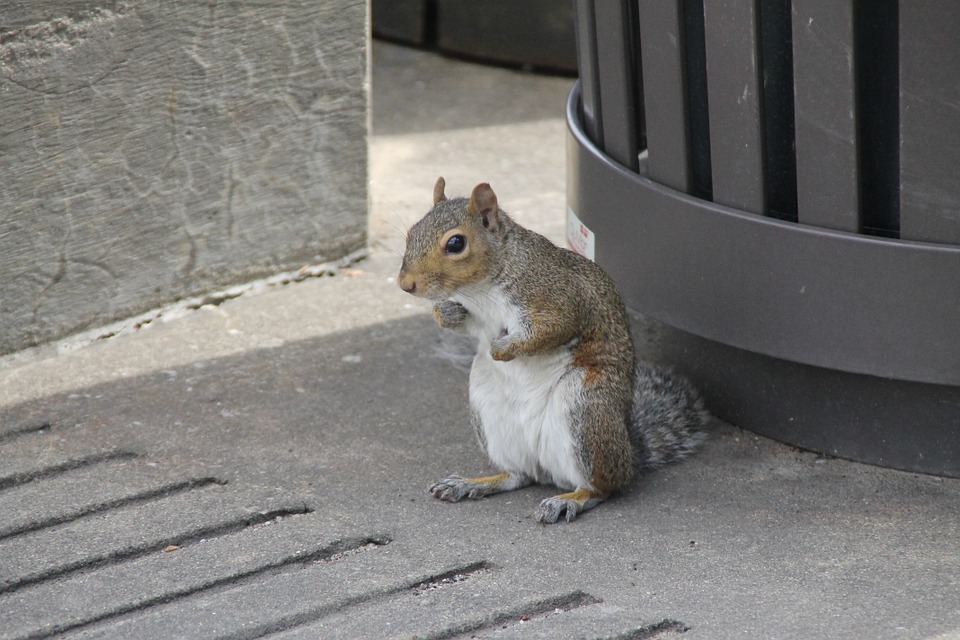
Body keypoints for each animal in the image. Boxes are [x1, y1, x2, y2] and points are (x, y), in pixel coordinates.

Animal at [400, 178, 712, 524]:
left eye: (456, 244)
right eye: (411, 232)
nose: (406, 284)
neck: (480, 288)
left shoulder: (559, 299)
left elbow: (550, 331)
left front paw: (503, 348)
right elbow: (460, 323)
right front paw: (447, 313)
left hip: (586, 409)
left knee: (603, 487)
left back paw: (570, 500)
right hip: (488, 409)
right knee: (518, 475)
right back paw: (473, 483)